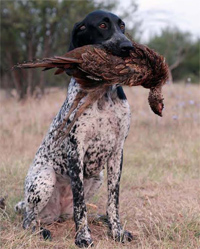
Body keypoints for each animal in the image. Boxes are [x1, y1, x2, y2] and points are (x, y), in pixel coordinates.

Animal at [15, 9, 134, 247]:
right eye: (102, 25)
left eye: (122, 26)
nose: (128, 46)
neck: (102, 93)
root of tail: (55, 212)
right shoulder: (75, 151)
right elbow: (80, 205)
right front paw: (83, 237)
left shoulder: (117, 152)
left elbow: (113, 201)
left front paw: (116, 231)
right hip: (44, 179)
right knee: (29, 219)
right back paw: (39, 231)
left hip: (97, 177)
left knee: (74, 213)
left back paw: (99, 218)